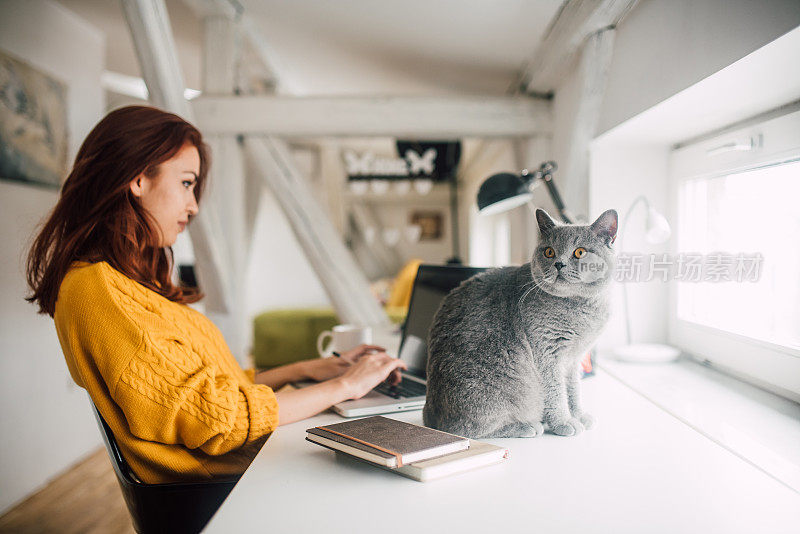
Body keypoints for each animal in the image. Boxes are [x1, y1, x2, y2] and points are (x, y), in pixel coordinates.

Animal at [424, 209, 620, 440]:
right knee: (466, 429)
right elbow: (556, 392)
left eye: (580, 252)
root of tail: (430, 419)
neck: (582, 307)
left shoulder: (574, 359)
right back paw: (527, 426)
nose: (558, 263)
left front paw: (579, 416)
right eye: (549, 252)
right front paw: (564, 422)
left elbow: (573, 390)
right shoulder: (547, 353)